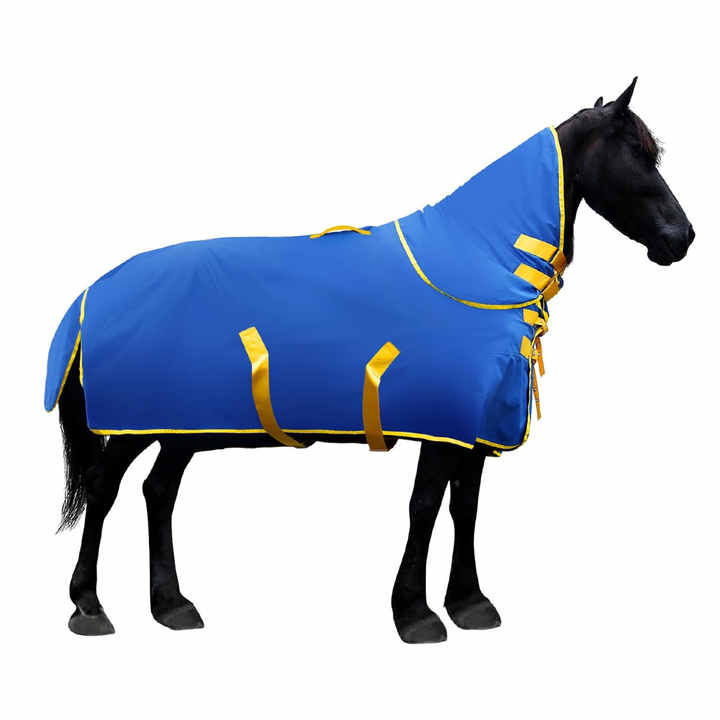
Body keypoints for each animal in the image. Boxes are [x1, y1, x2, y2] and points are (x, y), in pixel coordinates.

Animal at [50, 78, 694, 641]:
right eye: (637, 154)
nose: (681, 238)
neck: (475, 263)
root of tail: (92, 293)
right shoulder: (443, 425)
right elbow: (426, 506)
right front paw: (415, 614)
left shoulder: (474, 427)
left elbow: (465, 507)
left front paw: (469, 602)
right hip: (134, 421)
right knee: (104, 488)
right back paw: (89, 606)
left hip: (180, 424)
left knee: (158, 491)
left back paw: (172, 605)